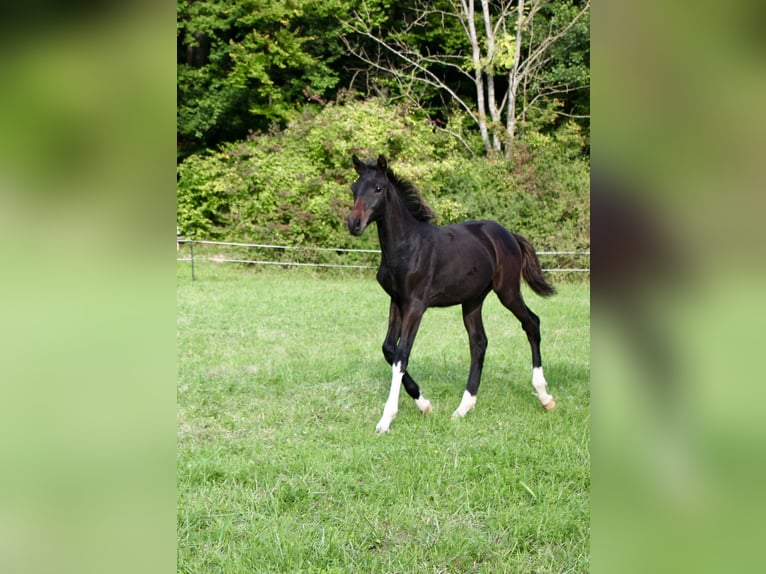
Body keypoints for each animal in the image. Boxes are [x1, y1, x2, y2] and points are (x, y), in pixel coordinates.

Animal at [347, 154, 557, 434]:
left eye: (378, 188)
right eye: (354, 188)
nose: (353, 223)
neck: (406, 246)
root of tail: (509, 235)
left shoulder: (416, 304)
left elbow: (401, 355)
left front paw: (386, 419)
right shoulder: (397, 301)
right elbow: (389, 349)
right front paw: (424, 404)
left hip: (508, 291)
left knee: (531, 323)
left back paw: (544, 396)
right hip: (472, 301)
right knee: (479, 343)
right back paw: (463, 408)